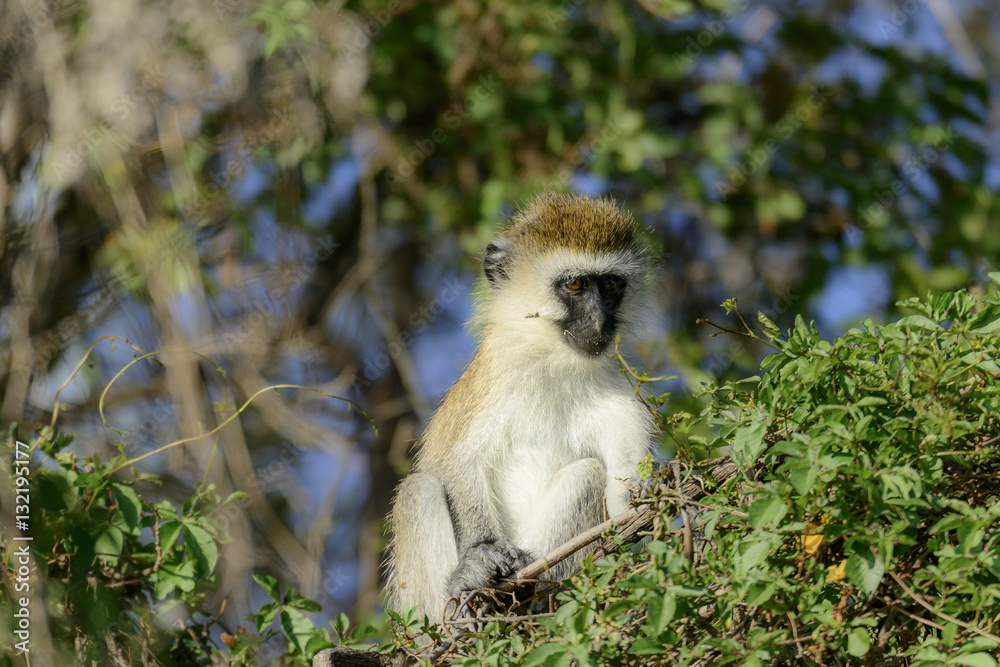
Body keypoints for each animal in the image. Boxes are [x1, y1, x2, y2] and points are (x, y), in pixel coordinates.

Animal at [386, 193, 660, 620]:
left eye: (611, 284)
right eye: (575, 284)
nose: (599, 322)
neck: (554, 364)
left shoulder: (623, 400)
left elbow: (623, 507)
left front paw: (650, 491)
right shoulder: (488, 383)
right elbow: (454, 461)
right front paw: (480, 555)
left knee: (587, 475)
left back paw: (526, 599)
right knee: (418, 490)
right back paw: (465, 607)